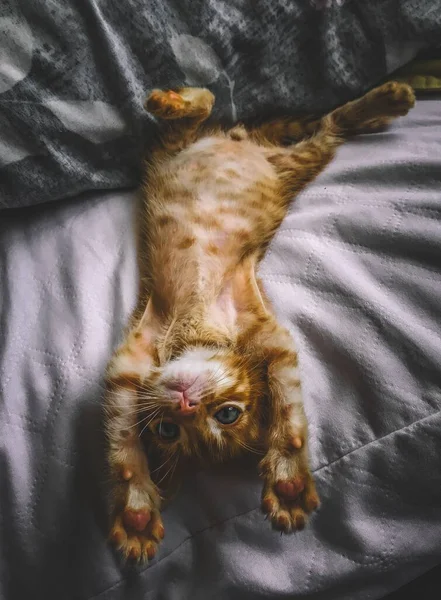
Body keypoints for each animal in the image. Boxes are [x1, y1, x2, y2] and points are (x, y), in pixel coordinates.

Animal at [103, 82, 412, 560]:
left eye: (227, 415)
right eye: (168, 430)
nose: (185, 403)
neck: (194, 330)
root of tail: (249, 142)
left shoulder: (272, 337)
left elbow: (291, 414)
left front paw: (288, 480)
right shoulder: (128, 364)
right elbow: (121, 449)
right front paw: (135, 507)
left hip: (295, 163)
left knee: (330, 126)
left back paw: (384, 101)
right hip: (172, 154)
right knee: (204, 108)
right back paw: (175, 101)